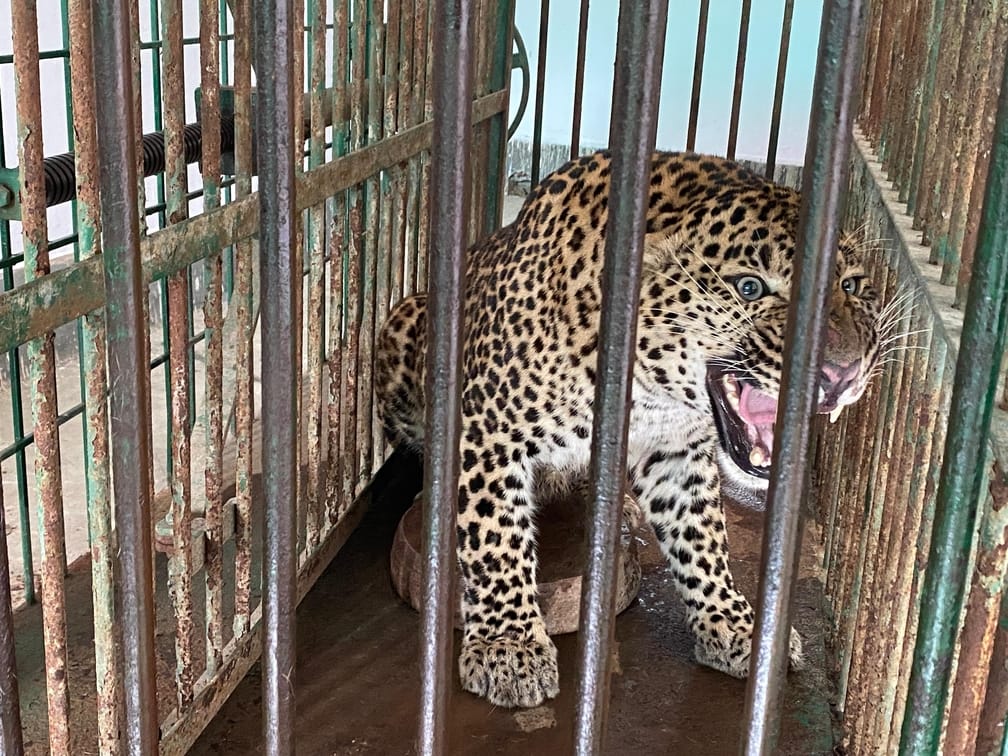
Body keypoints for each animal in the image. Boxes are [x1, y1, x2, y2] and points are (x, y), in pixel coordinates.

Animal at [375, 150, 882, 709]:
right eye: (749, 288)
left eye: (851, 285)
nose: (844, 374)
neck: (644, 392)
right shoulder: (487, 432)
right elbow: (495, 537)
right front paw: (508, 646)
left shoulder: (677, 449)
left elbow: (702, 537)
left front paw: (736, 627)